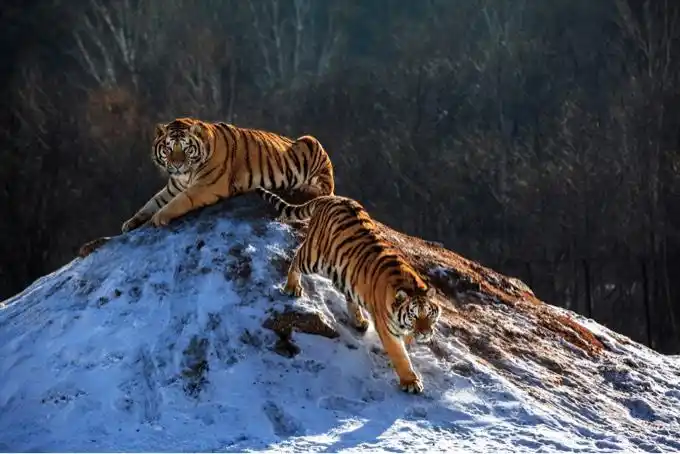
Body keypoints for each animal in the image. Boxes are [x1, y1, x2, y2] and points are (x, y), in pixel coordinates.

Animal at [121, 117, 335, 233]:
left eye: (186, 148)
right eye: (168, 148)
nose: (177, 164)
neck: (184, 175)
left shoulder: (206, 185)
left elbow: (179, 201)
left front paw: (158, 217)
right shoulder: (172, 188)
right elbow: (151, 202)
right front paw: (130, 223)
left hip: (311, 142)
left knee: (325, 188)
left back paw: (302, 188)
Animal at [257, 187, 441, 394]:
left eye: (429, 314)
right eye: (414, 315)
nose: (425, 333)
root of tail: (332, 197)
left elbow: (406, 344)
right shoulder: (387, 329)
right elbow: (399, 354)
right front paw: (410, 381)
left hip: (345, 272)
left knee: (349, 294)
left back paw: (359, 321)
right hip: (314, 257)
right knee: (297, 258)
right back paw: (292, 286)